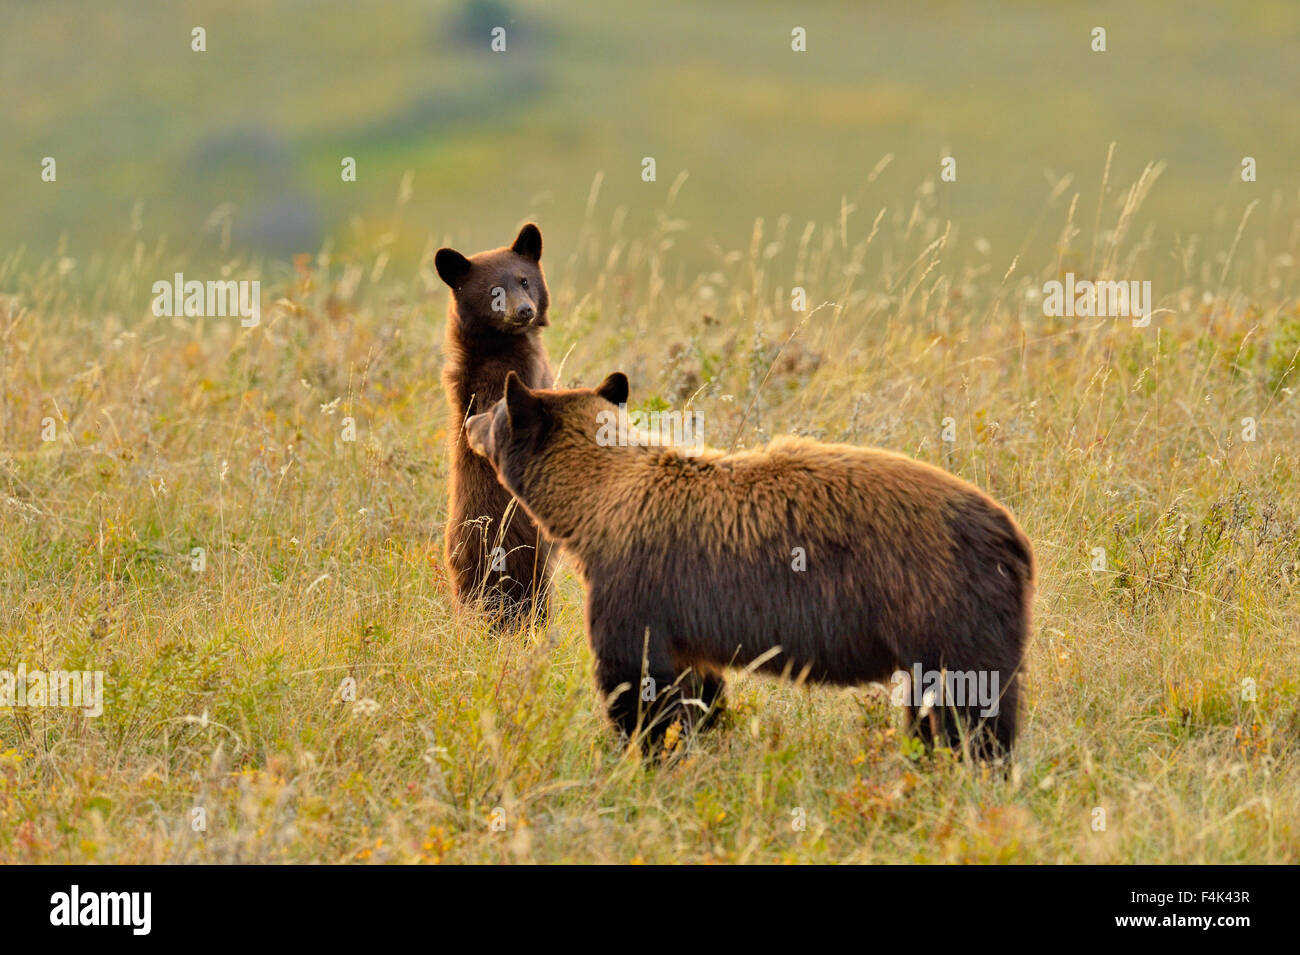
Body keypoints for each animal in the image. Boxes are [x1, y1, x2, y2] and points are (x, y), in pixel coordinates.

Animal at [465, 369, 1034, 758]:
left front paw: (647, 755)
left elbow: (637, 680)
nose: (469, 420)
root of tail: (1011, 535)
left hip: (944, 605)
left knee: (973, 707)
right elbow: (698, 688)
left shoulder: (634, 585)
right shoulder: (686, 626)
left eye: (497, 412)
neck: (599, 501)